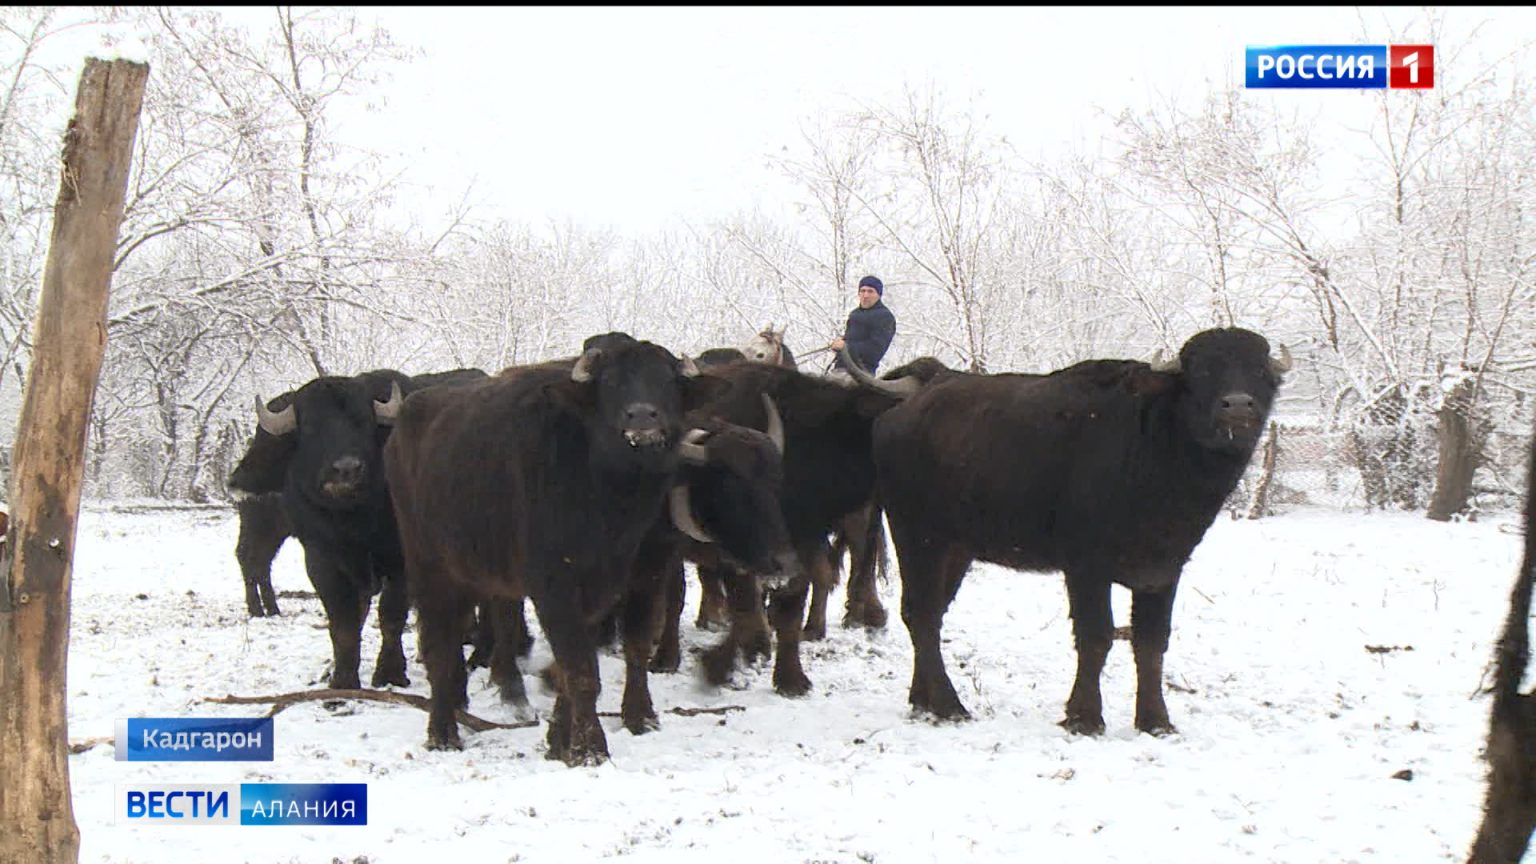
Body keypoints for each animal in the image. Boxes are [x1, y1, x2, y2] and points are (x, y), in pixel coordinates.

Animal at [224, 364, 479, 685]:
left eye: (363, 422)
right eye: (311, 427)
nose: (346, 469)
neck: (356, 523)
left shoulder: (402, 561)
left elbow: (390, 616)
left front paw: (390, 672)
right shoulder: (321, 560)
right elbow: (344, 623)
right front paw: (343, 678)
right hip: (262, 526)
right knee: (252, 558)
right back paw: (263, 609)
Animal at [866, 325, 1284, 728]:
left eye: (1259, 370)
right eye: (1202, 371)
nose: (1238, 405)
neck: (1154, 449)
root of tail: (907, 404)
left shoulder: (1163, 572)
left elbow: (1151, 644)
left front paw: (1156, 720)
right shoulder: (1086, 568)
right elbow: (1096, 637)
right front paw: (1084, 717)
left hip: (956, 548)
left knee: (928, 613)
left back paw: (923, 700)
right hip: (918, 535)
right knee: (920, 613)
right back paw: (948, 705)